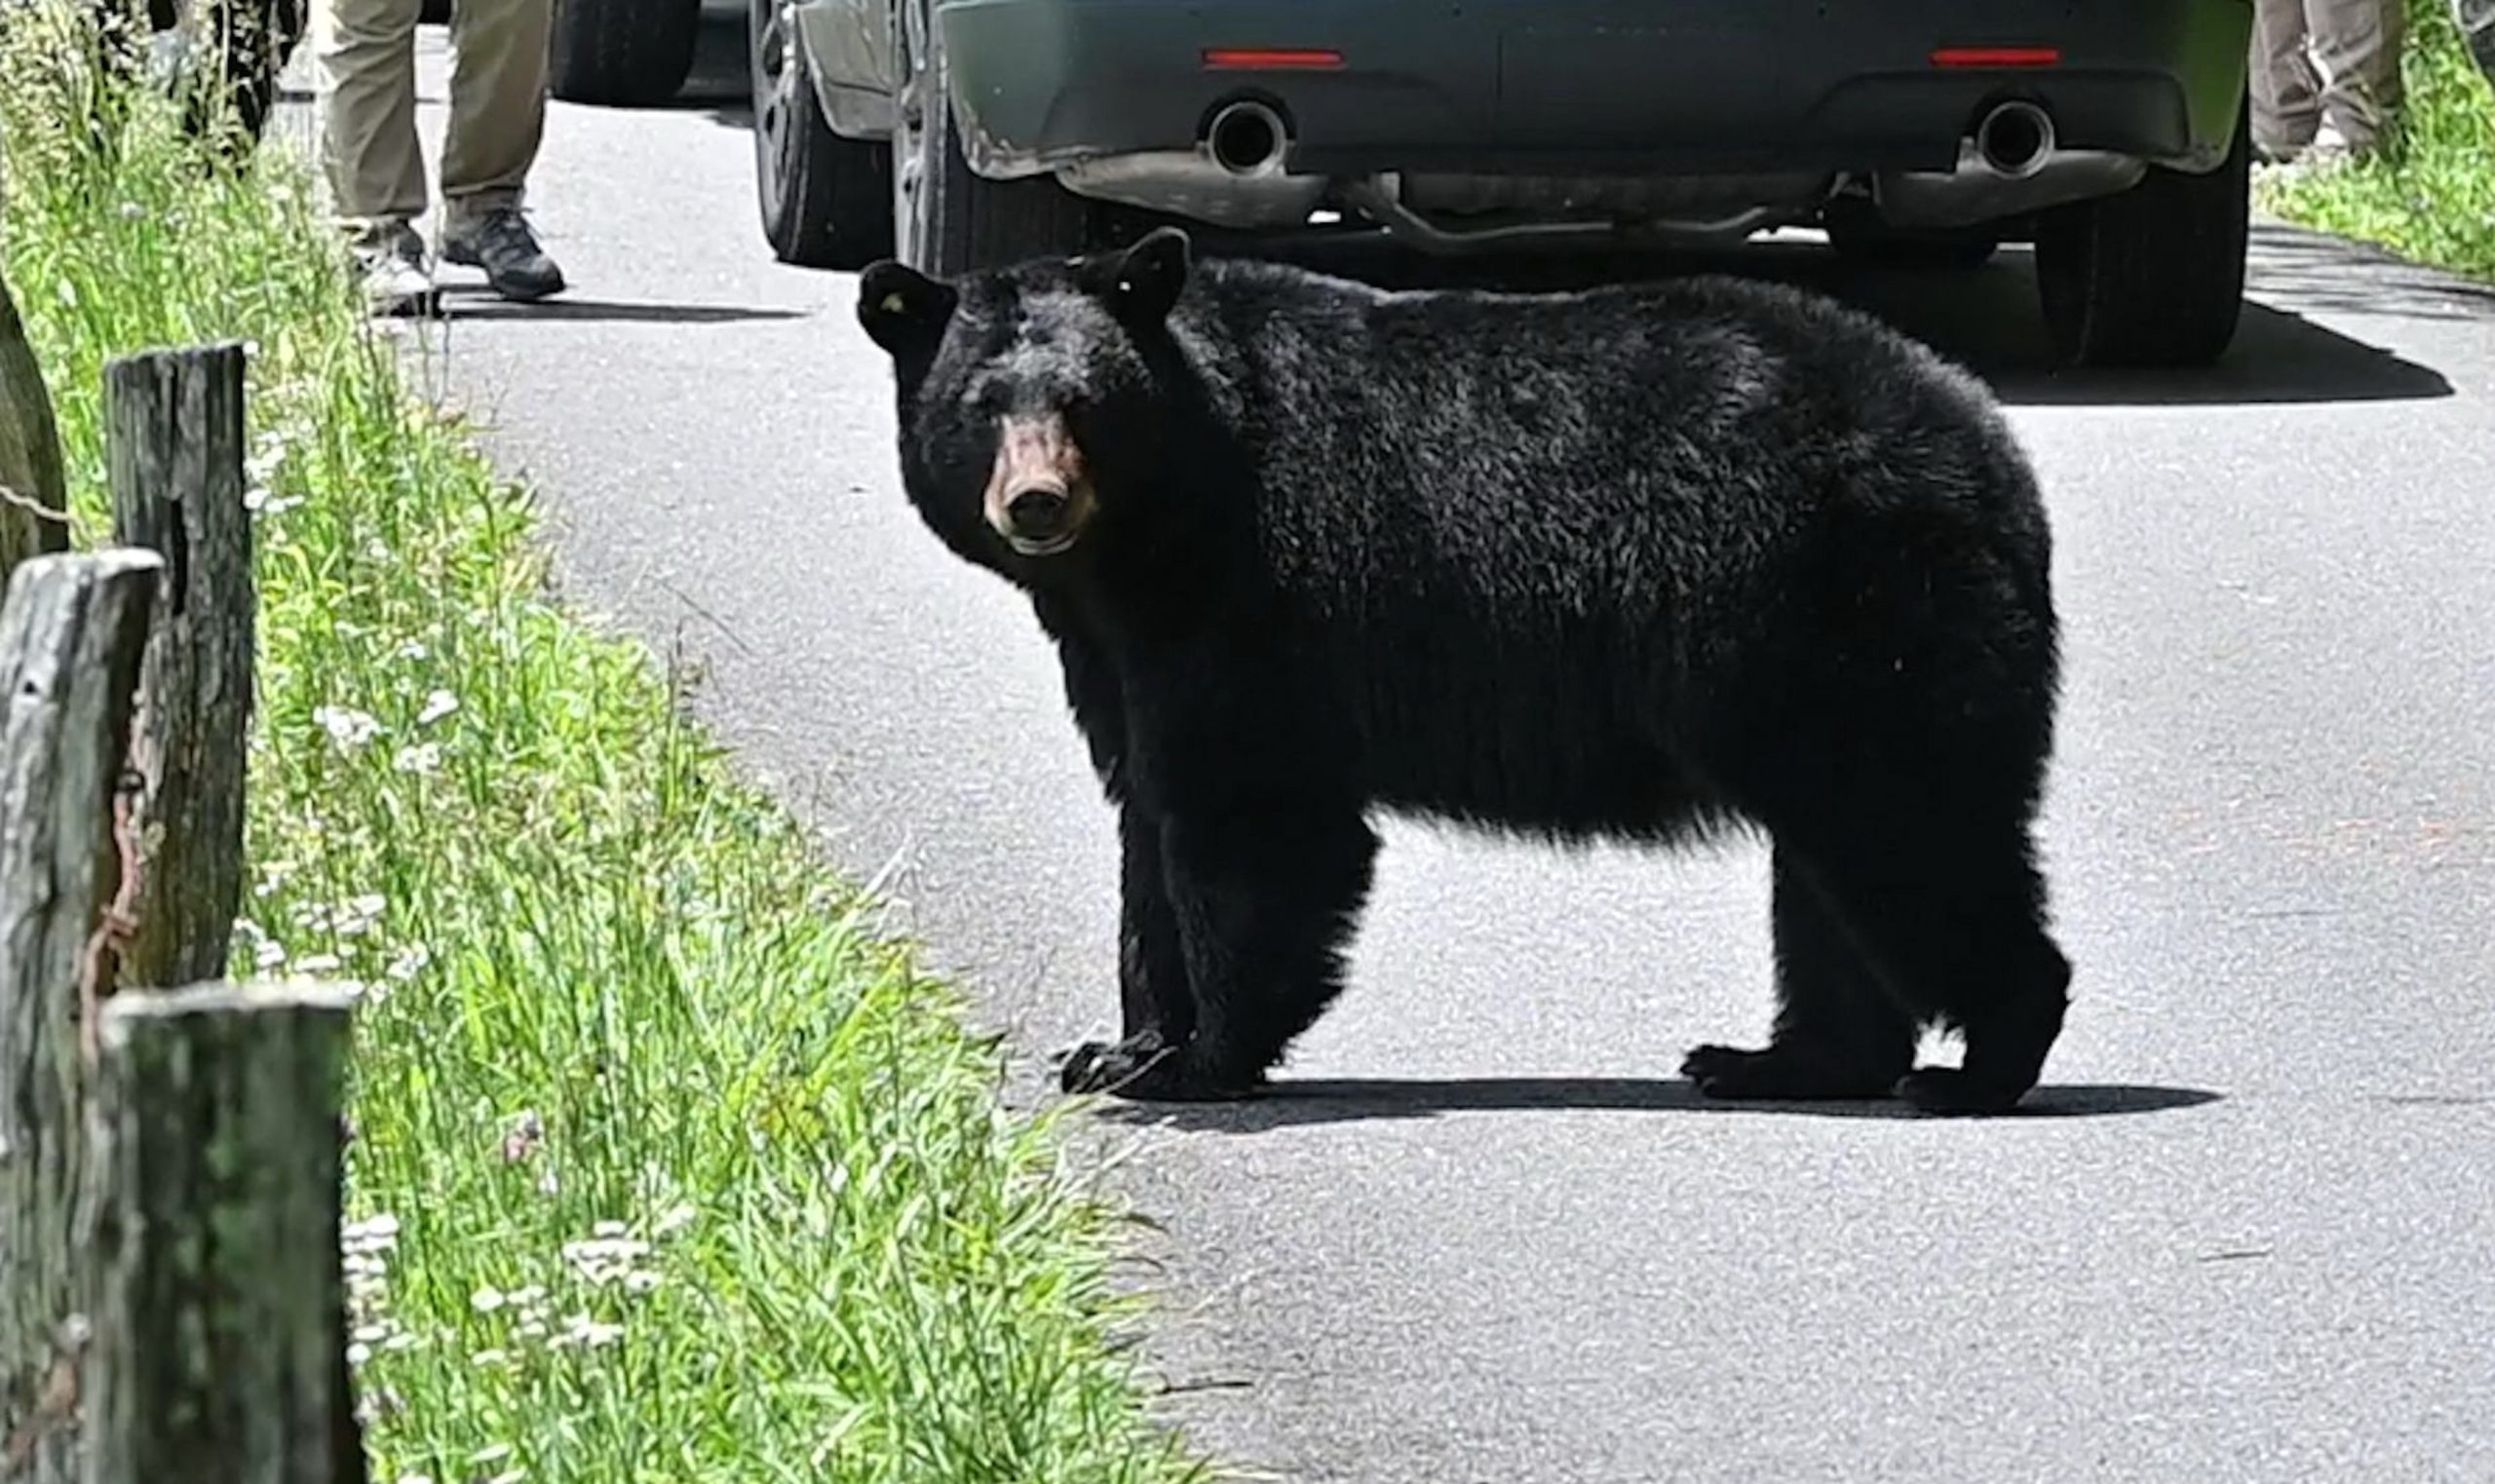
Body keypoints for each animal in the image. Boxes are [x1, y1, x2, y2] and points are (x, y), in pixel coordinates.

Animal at [867, 226, 2075, 1117]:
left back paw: (1977, 1062)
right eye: (981, 405)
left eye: (1085, 400)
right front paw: (1118, 1048)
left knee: (1907, 829)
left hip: (1849, 619)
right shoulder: (1117, 643)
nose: (1036, 503)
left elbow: (1248, 816)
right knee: (1833, 869)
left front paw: (1202, 1058)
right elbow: (1145, 818)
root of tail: (1988, 447)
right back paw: (1778, 1059)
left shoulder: (1255, 595)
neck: (1149, 535)